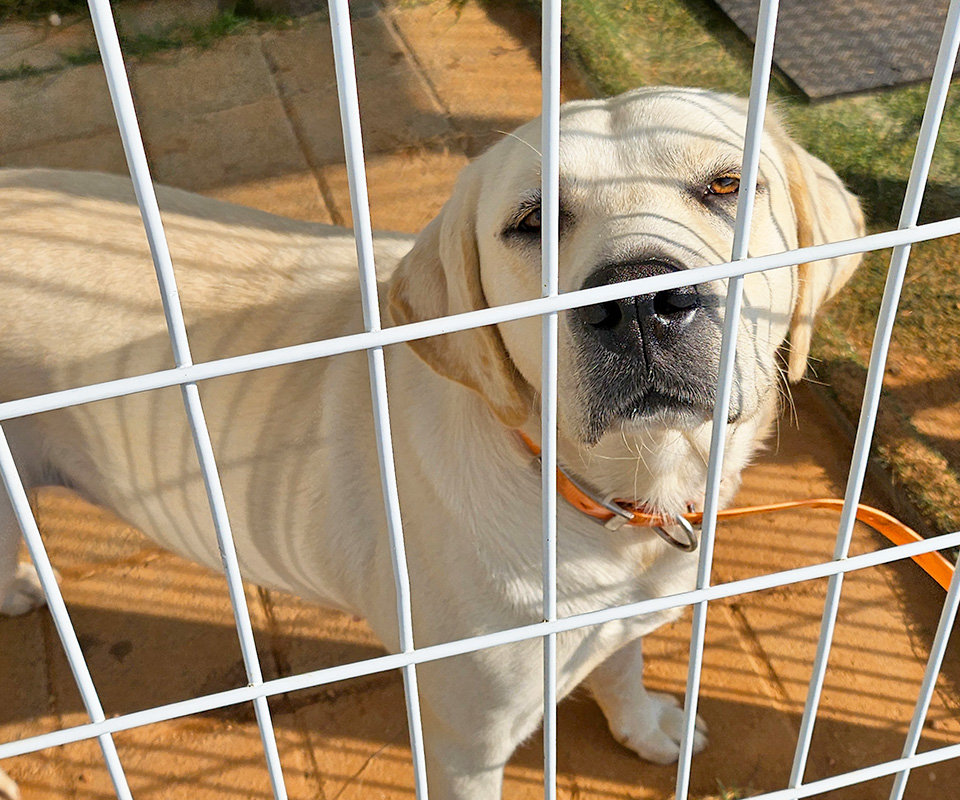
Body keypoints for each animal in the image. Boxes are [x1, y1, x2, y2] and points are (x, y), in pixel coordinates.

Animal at [0, 87, 863, 800]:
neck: (598, 494)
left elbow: (620, 667)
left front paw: (646, 727)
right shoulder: (464, 745)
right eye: (531, 222)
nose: (640, 303)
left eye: (727, 183)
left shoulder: (620, 615)